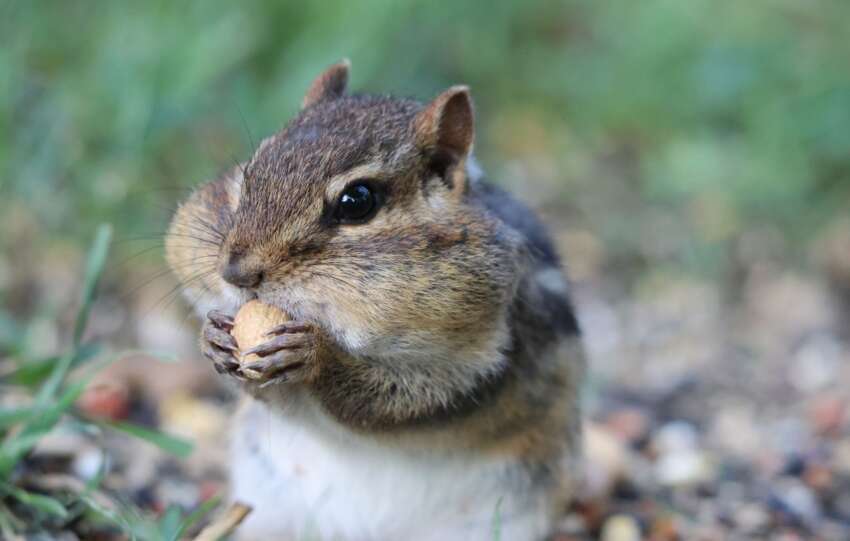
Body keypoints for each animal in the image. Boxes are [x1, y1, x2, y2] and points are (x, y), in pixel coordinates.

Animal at [166, 60, 585, 541]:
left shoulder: (484, 358)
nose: (236, 272)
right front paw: (212, 338)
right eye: (249, 172)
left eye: (357, 201)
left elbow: (411, 396)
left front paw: (315, 355)